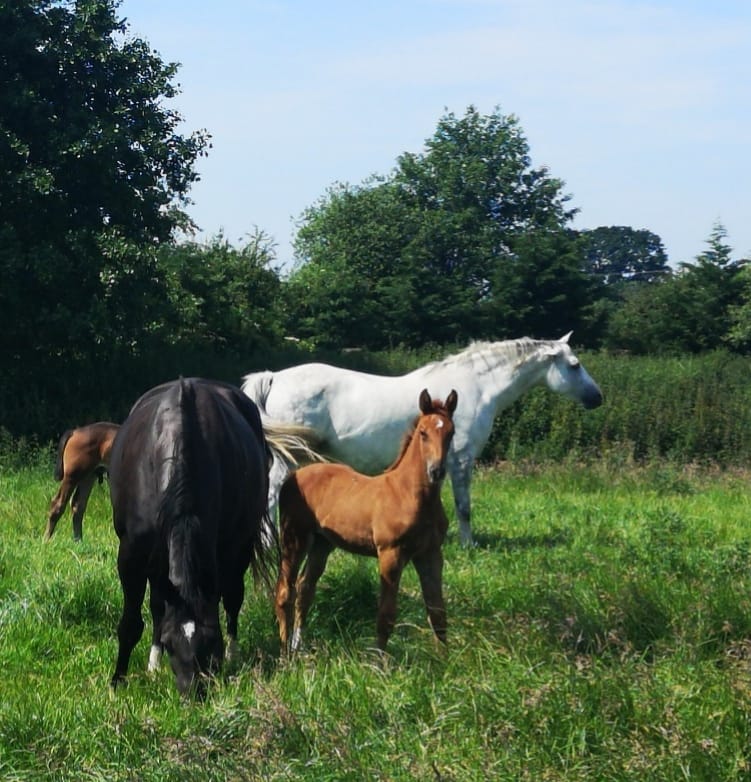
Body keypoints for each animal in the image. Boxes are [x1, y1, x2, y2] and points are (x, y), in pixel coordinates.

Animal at [108, 376, 276, 696]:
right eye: (171, 642)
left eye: (212, 641)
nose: (193, 692)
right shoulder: (132, 554)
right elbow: (133, 621)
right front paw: (117, 680)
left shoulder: (222, 550)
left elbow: (228, 598)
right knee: (158, 605)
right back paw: (152, 664)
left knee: (233, 598)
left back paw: (235, 656)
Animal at [244, 334, 604, 548]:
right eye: (574, 365)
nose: (597, 398)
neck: (475, 389)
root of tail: (274, 377)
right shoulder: (461, 460)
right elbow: (464, 506)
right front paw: (468, 546)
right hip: (289, 456)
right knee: (271, 493)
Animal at [274, 390, 456, 656]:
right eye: (423, 433)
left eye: (451, 433)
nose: (437, 471)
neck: (409, 495)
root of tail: (293, 477)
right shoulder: (390, 555)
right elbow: (385, 616)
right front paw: (378, 661)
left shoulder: (430, 554)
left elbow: (438, 612)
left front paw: (445, 659)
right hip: (294, 538)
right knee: (285, 591)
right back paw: (285, 653)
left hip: (322, 544)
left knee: (305, 589)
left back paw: (299, 647)